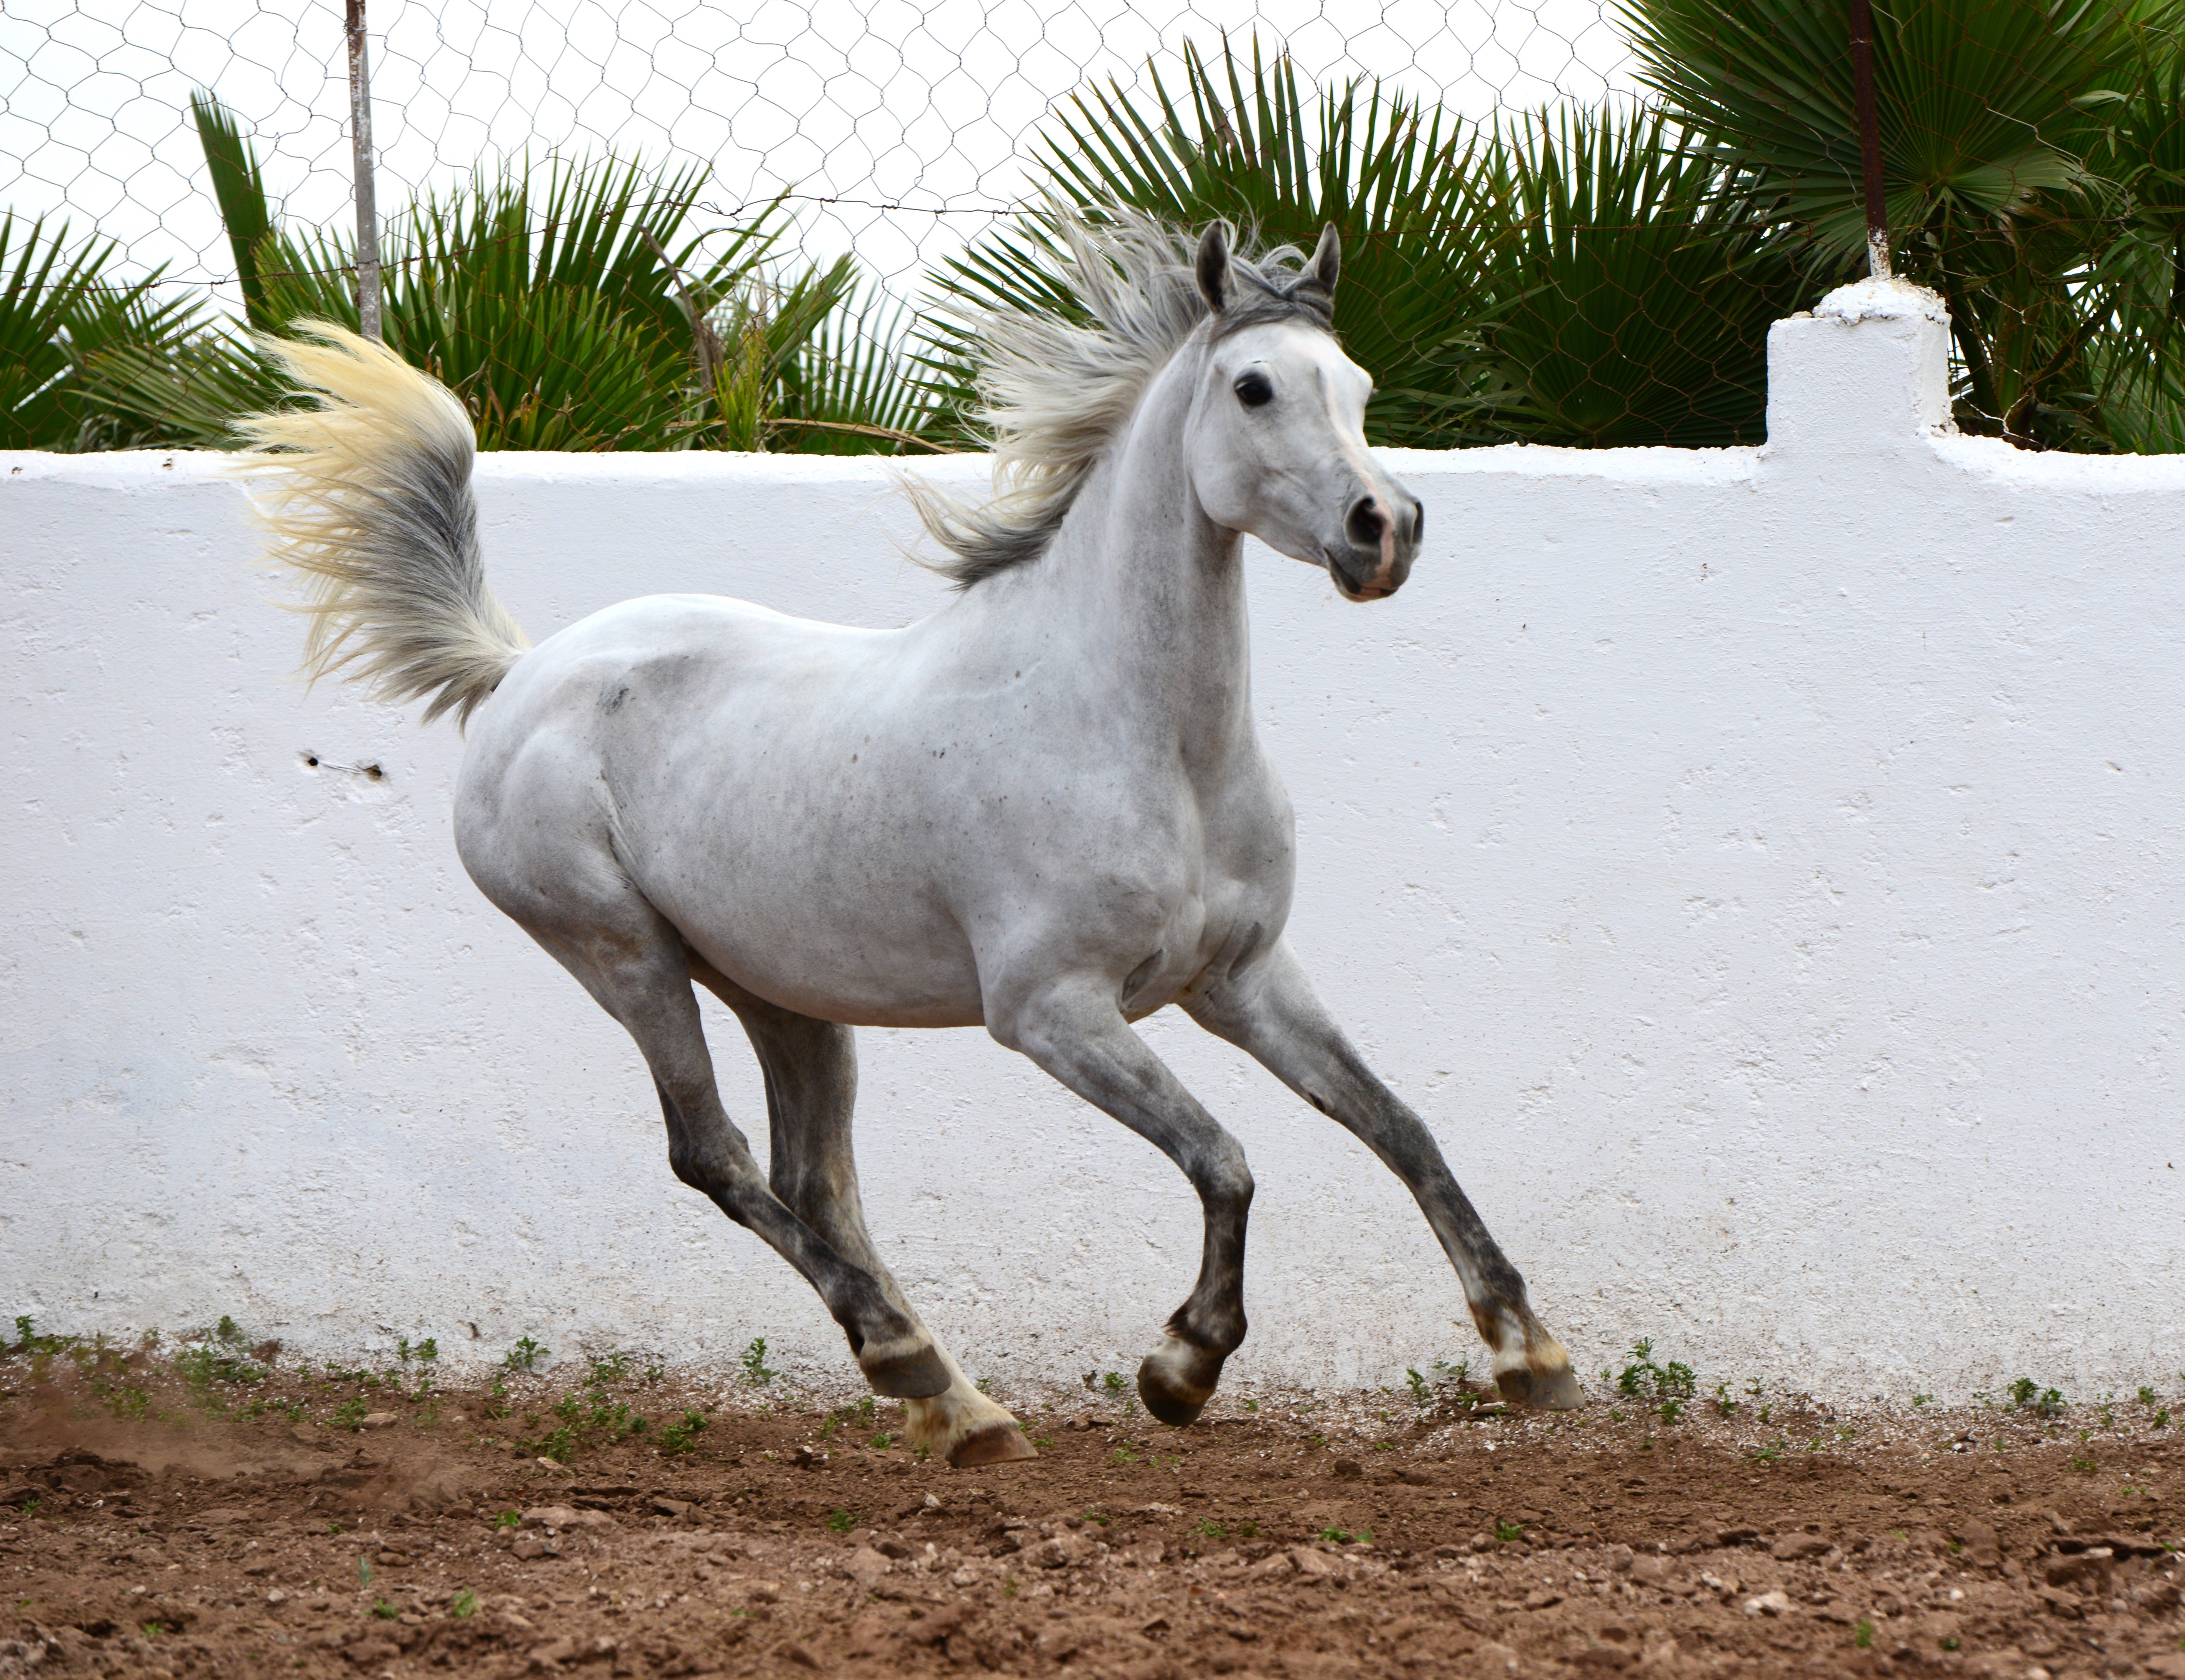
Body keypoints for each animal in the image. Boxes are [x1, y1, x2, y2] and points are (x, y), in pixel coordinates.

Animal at [241, 210, 1582, 1466]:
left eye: (1356, 383)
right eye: (1254, 387)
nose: (1382, 528)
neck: (1143, 734)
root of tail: (515, 671)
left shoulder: (1240, 978)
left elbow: (1398, 1125)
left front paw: (1530, 1353)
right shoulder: (1052, 1012)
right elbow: (1225, 1158)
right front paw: (1181, 1367)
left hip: (784, 992)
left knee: (811, 1180)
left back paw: (954, 1401)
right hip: (623, 955)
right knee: (715, 1157)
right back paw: (917, 1367)